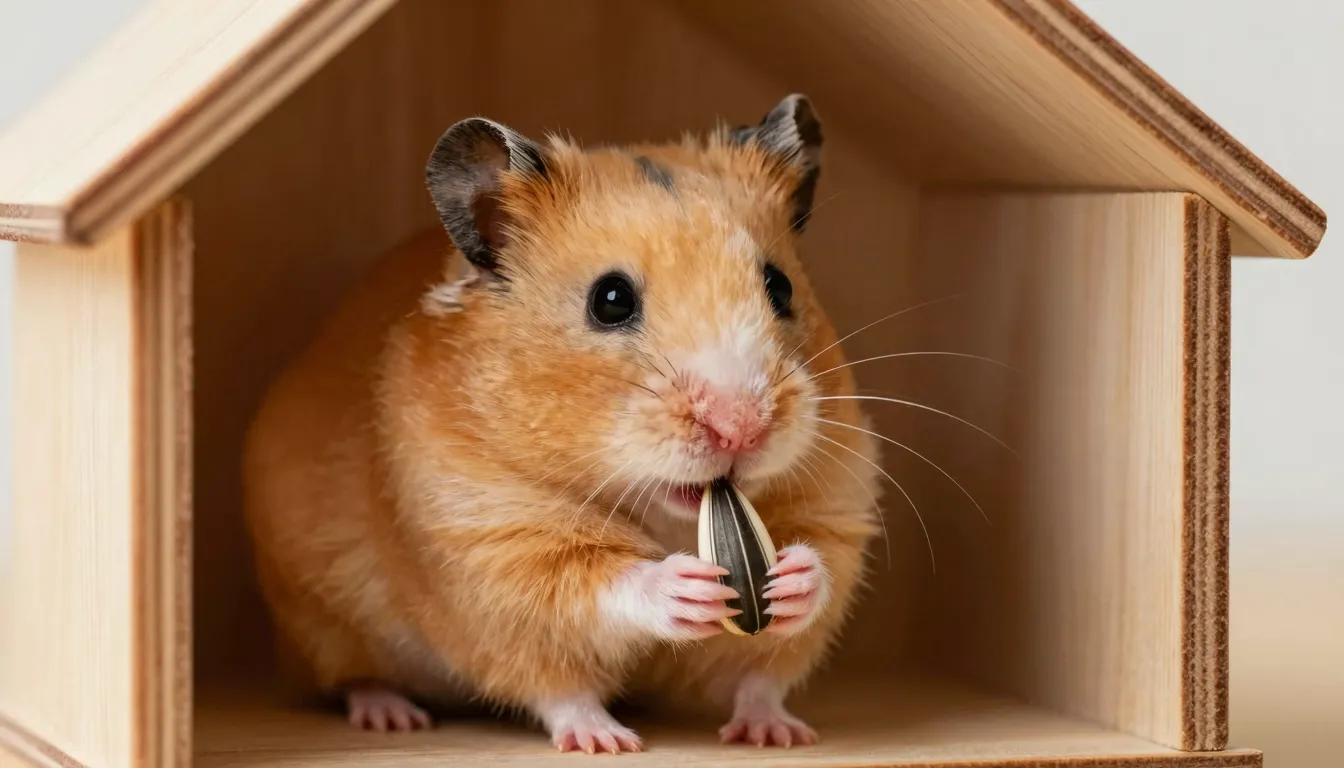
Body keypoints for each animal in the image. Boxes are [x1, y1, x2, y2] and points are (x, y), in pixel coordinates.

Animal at [242, 93, 883, 752]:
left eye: (779, 286)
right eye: (610, 300)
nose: (742, 429)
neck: (665, 514)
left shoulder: (839, 502)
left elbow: (795, 619)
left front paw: (790, 584)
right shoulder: (492, 543)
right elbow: (594, 593)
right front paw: (686, 587)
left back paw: (774, 733)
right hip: (325, 624)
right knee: (385, 681)